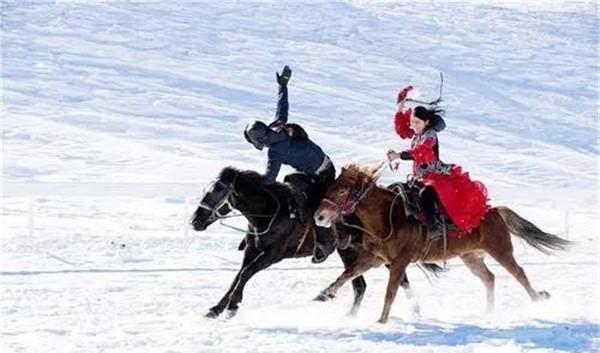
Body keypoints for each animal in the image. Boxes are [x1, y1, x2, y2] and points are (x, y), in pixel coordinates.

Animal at [314, 162, 572, 322]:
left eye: (342, 191)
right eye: (330, 187)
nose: (319, 216)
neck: (390, 218)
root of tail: (495, 211)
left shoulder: (398, 262)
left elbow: (391, 291)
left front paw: (382, 320)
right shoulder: (374, 258)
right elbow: (347, 274)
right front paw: (324, 295)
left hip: (501, 251)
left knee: (519, 274)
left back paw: (538, 300)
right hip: (471, 257)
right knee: (489, 278)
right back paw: (488, 312)